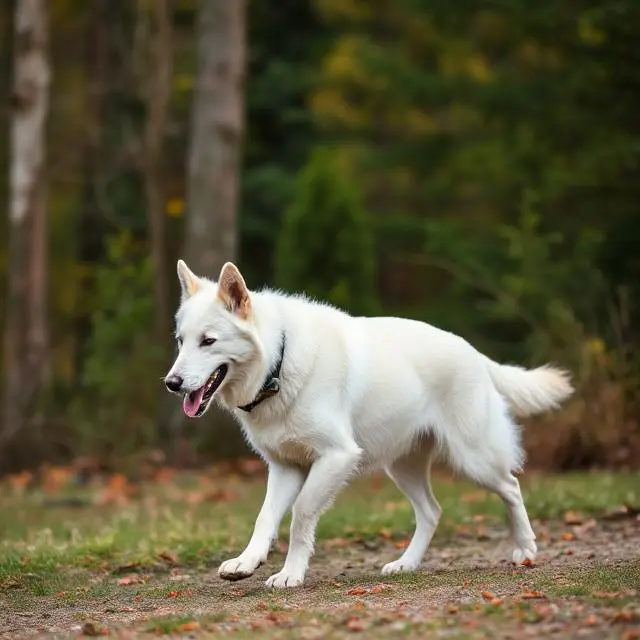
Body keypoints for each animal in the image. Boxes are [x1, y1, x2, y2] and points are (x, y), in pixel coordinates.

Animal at [165, 258, 576, 588]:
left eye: (209, 341)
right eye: (181, 341)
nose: (171, 383)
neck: (278, 362)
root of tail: (474, 353)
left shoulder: (336, 457)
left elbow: (300, 516)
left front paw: (290, 574)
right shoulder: (285, 468)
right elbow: (264, 518)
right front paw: (247, 563)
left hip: (474, 459)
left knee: (511, 487)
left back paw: (525, 548)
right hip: (403, 467)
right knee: (432, 511)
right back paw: (406, 564)